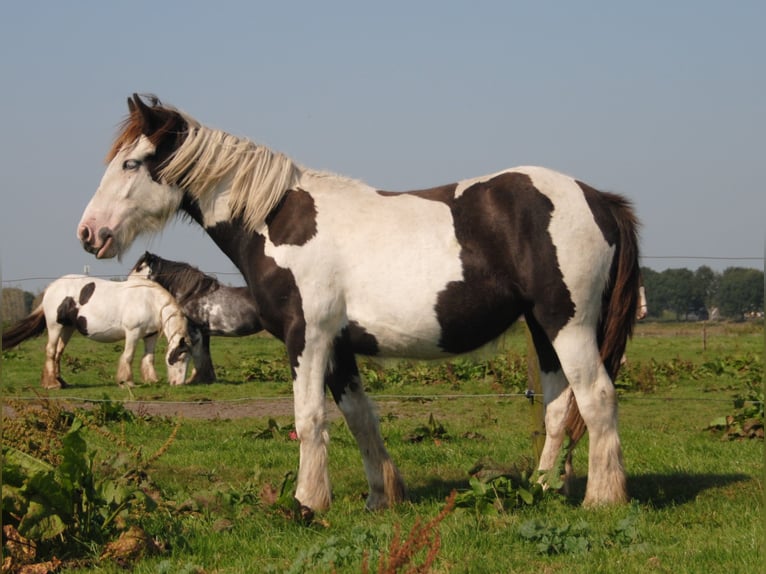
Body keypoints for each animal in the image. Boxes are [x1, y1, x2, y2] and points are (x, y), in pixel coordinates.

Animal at [2, 276, 191, 392]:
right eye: (180, 357)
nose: (178, 384)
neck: (149, 301)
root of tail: (51, 288)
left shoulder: (149, 335)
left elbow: (148, 358)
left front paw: (152, 380)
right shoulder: (133, 333)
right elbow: (128, 356)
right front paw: (126, 382)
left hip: (68, 328)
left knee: (58, 353)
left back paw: (61, 382)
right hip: (55, 326)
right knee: (50, 351)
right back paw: (51, 385)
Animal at [129, 251, 264, 382]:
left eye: (139, 268)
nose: (128, 283)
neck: (194, 293)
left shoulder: (195, 331)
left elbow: (197, 354)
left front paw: (197, 378)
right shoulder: (204, 332)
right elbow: (204, 354)